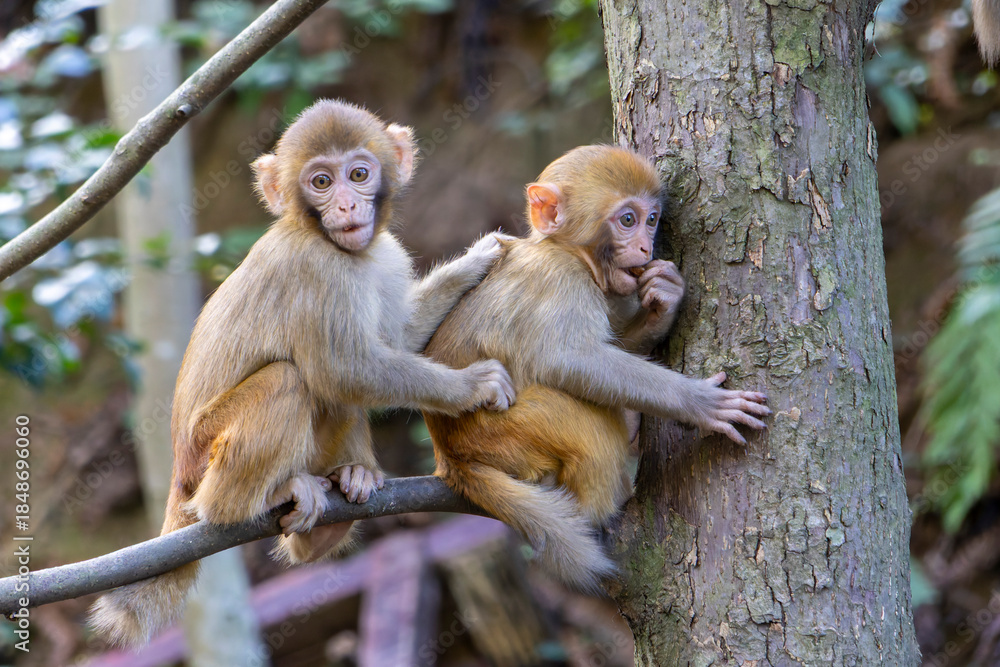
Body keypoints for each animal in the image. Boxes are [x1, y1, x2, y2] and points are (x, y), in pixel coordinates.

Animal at [89, 99, 516, 648]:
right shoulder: (316, 270)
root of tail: (179, 476)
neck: (327, 241)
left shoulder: (387, 255)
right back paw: (251, 500)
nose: (347, 207)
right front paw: (474, 386)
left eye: (359, 174)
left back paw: (342, 493)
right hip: (206, 453)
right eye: (321, 181)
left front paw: (476, 261)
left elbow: (395, 343)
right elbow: (345, 371)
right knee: (291, 381)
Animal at [422, 145, 770, 591]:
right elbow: (571, 360)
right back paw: (602, 504)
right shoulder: (561, 280)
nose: (646, 249)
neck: (567, 250)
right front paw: (701, 403)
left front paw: (665, 300)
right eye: (628, 220)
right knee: (577, 414)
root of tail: (448, 456)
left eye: (652, 219)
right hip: (500, 435)